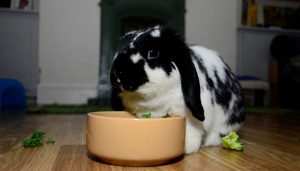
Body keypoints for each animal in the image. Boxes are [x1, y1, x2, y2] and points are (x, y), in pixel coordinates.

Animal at [109, 25, 245, 155]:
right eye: (118, 50)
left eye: (153, 53)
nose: (118, 75)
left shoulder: (189, 116)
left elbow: (191, 130)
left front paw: (187, 148)